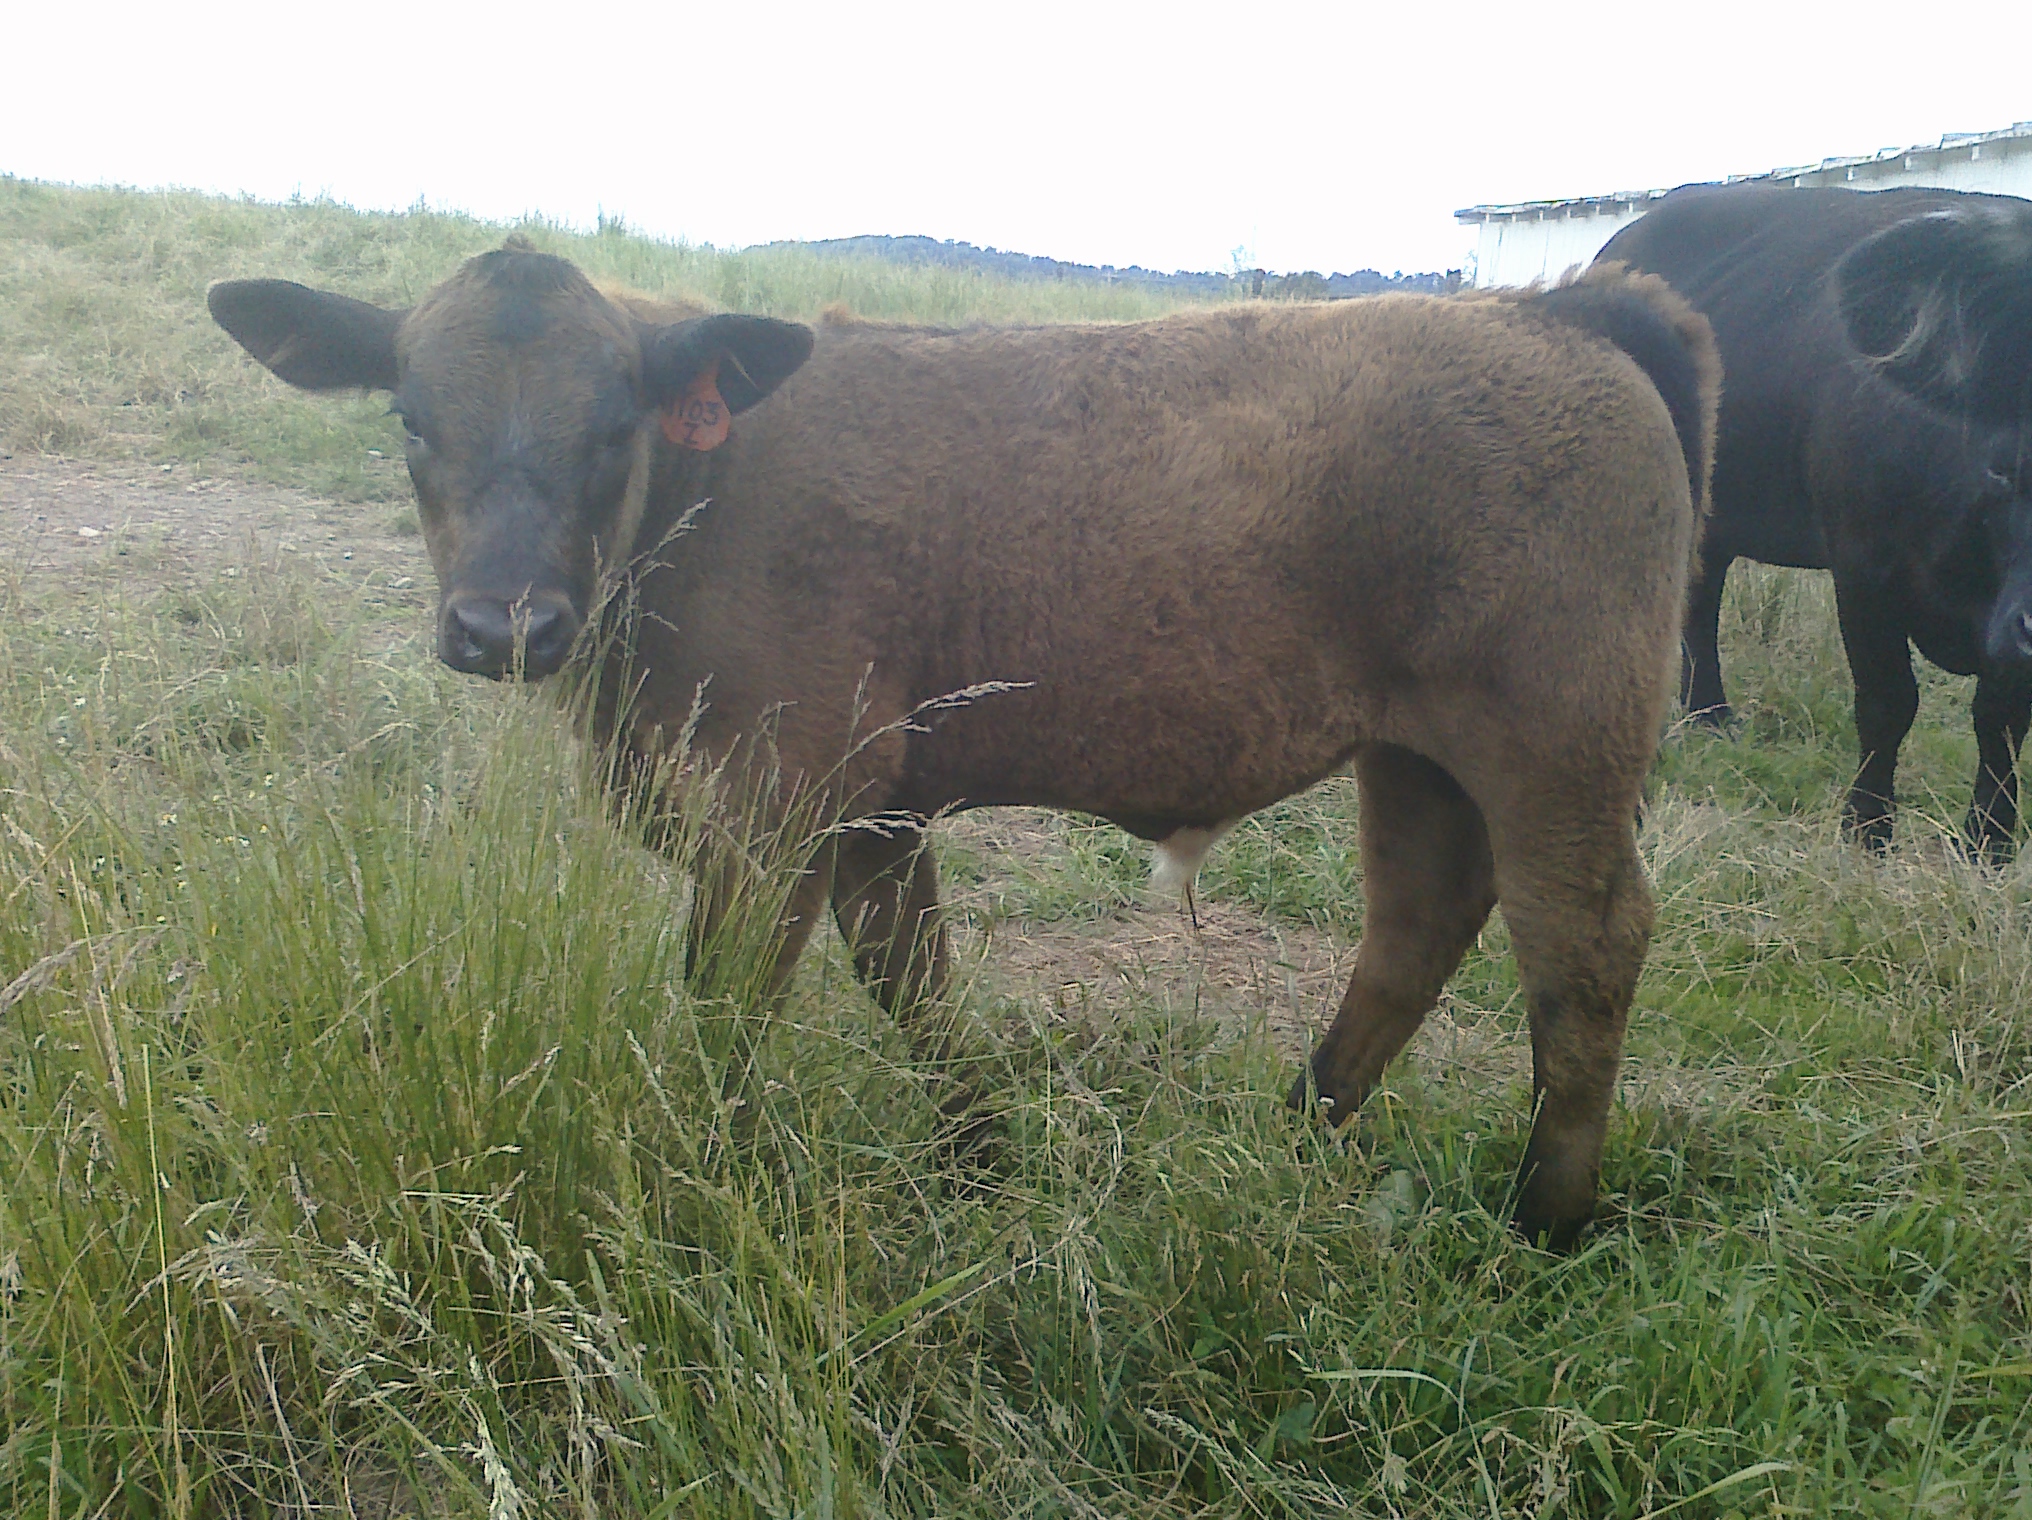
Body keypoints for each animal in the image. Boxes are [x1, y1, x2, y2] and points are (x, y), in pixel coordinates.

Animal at [208, 243, 1717, 1248]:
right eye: (411, 417)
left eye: (612, 424)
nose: (502, 623)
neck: (705, 494)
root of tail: (1557, 312)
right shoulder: (873, 813)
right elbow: (912, 983)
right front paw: (981, 1159)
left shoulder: (779, 802)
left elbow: (726, 1001)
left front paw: (705, 1175)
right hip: (1417, 757)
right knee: (1418, 922)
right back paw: (1301, 1125)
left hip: (1558, 744)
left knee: (1581, 946)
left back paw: (1543, 1216)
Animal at [1598, 182, 2032, 860]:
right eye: (2009, 462)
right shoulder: (1864, 565)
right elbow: (1888, 701)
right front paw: (1867, 829)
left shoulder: (2013, 627)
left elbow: (2001, 721)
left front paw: (1989, 845)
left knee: (1702, 597)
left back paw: (1711, 716)